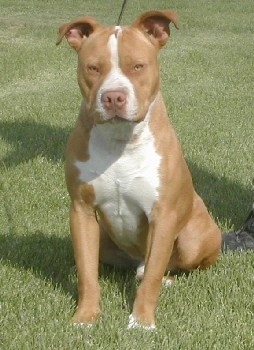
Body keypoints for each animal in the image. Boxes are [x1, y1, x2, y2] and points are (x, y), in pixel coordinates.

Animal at [56, 10, 221, 328]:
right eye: (93, 68)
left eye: (137, 66)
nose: (113, 97)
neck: (121, 141)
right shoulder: (81, 210)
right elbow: (87, 273)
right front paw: (85, 317)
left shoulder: (163, 215)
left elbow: (153, 277)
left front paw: (141, 322)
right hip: (103, 235)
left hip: (193, 238)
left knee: (167, 266)